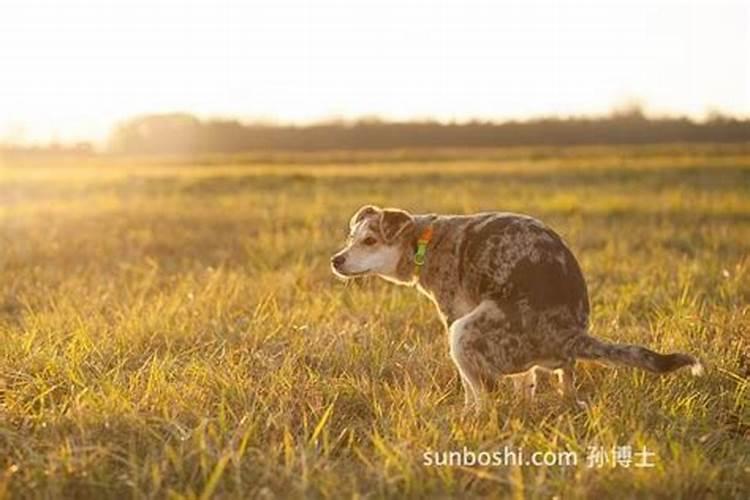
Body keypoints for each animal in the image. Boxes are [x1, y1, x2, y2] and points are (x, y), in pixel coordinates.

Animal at [330, 205, 704, 408]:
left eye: (370, 241)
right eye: (350, 238)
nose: (336, 260)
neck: (424, 240)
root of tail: (568, 333)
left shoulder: (454, 314)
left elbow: (471, 387)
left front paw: (466, 412)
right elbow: (526, 383)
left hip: (464, 332)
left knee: (486, 394)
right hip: (551, 361)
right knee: (564, 383)